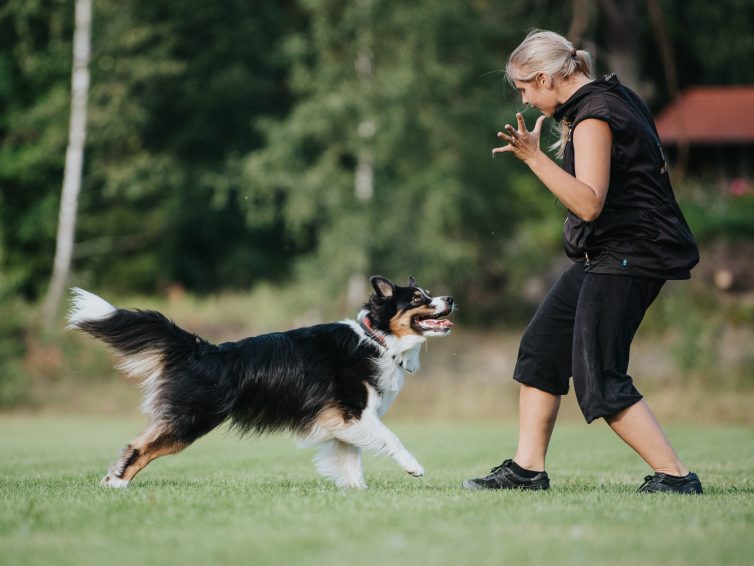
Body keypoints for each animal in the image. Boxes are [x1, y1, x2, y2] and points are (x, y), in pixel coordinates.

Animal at [67, 278, 452, 490]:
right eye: (417, 298)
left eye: (429, 293)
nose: (450, 299)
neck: (378, 340)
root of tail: (202, 350)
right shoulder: (353, 413)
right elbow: (391, 438)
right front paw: (413, 467)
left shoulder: (342, 423)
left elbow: (350, 460)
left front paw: (357, 492)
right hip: (193, 417)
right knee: (138, 446)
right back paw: (116, 484)